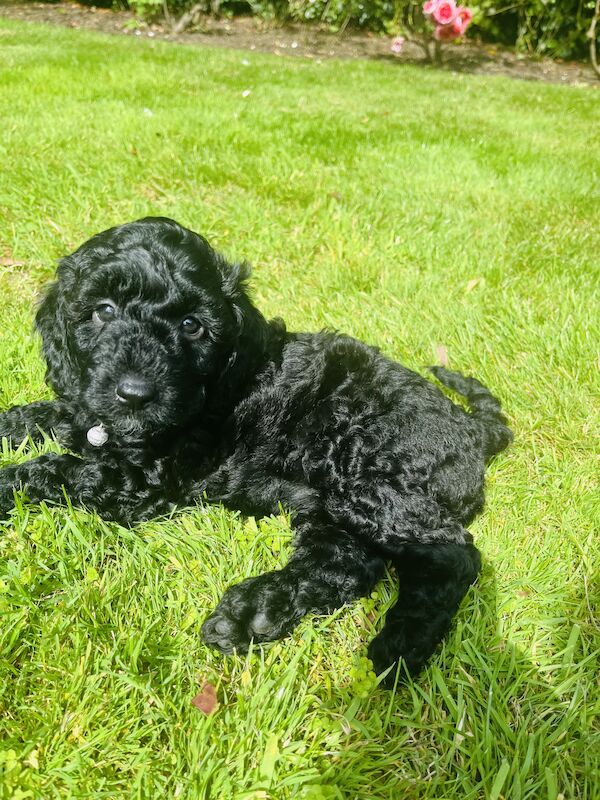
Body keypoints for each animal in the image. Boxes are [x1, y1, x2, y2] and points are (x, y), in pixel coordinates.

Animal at [0, 217, 510, 680]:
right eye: (102, 311)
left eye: (192, 326)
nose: (135, 393)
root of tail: (472, 428)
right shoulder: (90, 409)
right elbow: (55, 415)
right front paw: (14, 421)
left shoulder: (143, 479)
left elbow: (57, 470)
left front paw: (8, 481)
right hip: (333, 502)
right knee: (348, 560)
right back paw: (252, 614)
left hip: (364, 468)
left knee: (452, 555)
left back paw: (400, 646)